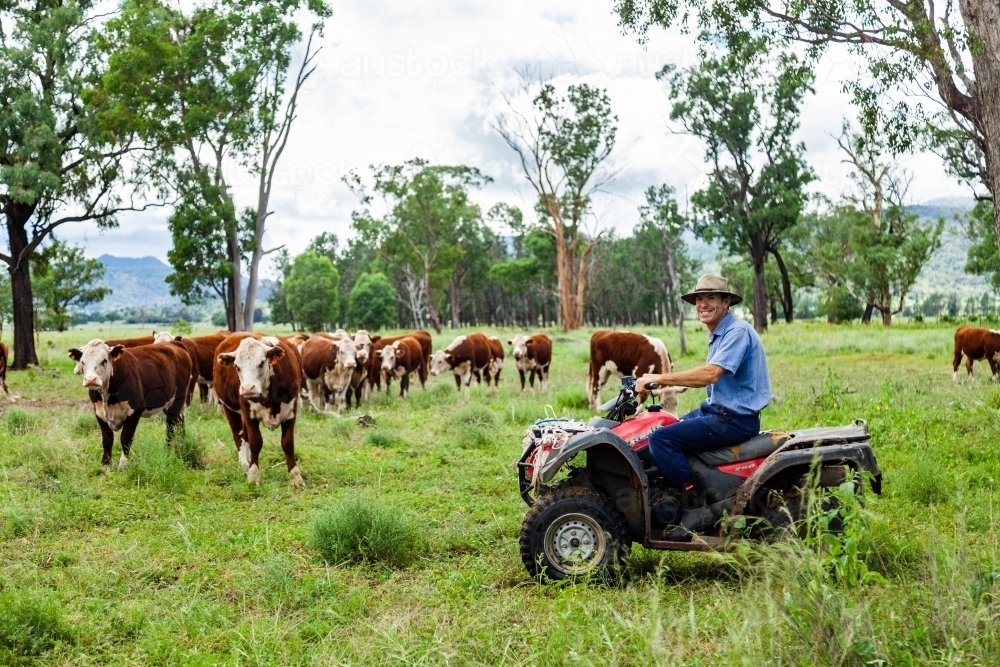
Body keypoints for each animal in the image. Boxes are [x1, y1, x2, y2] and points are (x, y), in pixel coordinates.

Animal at [68, 340, 191, 470]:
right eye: (83, 361)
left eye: (104, 360)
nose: (91, 379)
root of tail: (174, 343)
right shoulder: (99, 413)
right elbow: (107, 440)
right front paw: (106, 465)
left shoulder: (135, 412)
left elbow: (126, 438)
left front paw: (123, 465)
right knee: (180, 419)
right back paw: (182, 441)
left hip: (178, 400)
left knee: (170, 426)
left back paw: (168, 450)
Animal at [213, 334, 302, 486]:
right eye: (237, 366)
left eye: (261, 363)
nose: (248, 388)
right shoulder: (249, 415)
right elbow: (255, 443)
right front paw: (253, 475)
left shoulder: (291, 413)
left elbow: (288, 443)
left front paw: (295, 476)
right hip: (229, 408)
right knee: (238, 435)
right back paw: (244, 465)